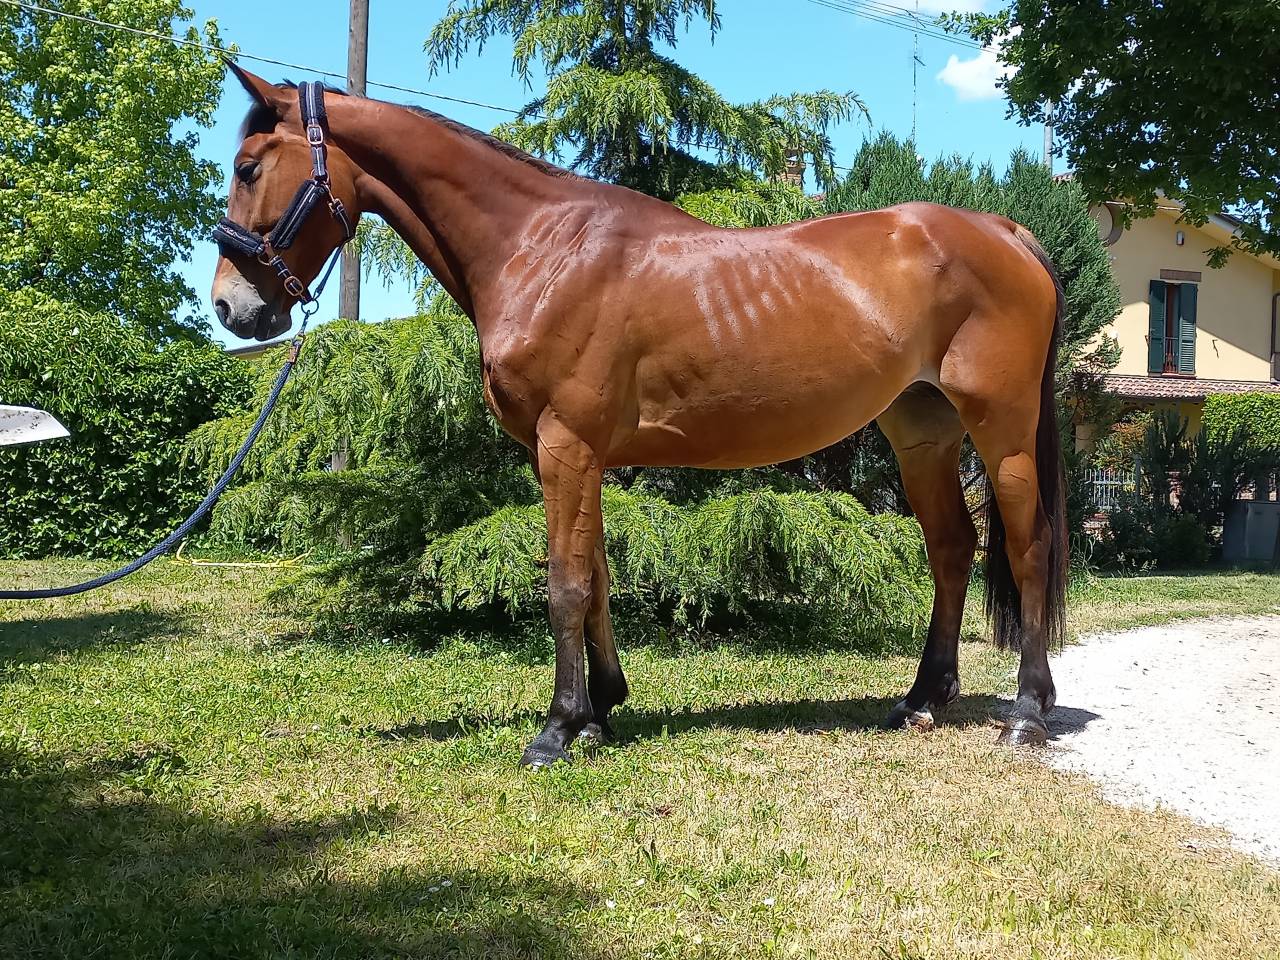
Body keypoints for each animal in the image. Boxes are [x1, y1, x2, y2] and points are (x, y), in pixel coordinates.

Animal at [212, 64, 1067, 768]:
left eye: (248, 167)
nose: (229, 307)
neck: (541, 249)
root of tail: (1003, 231)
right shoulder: (576, 453)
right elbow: (595, 575)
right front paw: (600, 712)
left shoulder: (564, 444)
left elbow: (563, 582)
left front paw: (556, 730)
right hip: (921, 431)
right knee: (952, 550)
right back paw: (921, 700)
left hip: (1001, 431)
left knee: (1027, 548)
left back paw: (1026, 713)